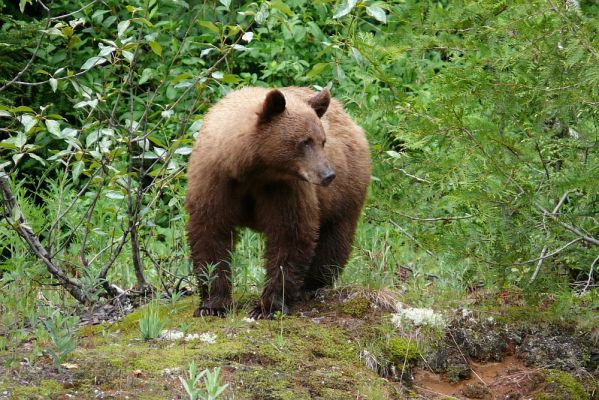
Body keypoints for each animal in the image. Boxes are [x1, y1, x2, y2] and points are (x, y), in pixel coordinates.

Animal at [185, 86, 370, 318]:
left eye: (323, 141)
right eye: (305, 141)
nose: (328, 175)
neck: (251, 168)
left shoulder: (283, 188)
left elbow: (289, 235)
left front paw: (268, 306)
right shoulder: (215, 180)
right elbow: (210, 232)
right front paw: (213, 305)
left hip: (345, 191)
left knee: (333, 239)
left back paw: (310, 286)